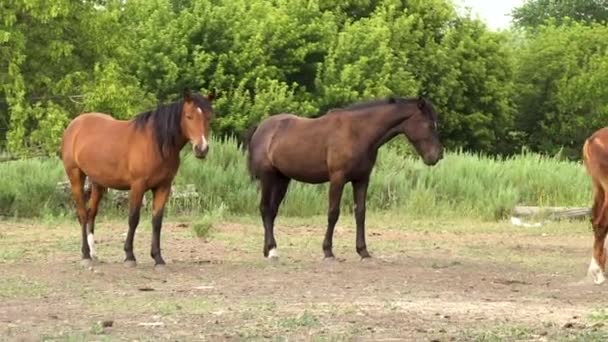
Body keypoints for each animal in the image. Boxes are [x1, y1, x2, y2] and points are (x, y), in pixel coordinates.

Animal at [60, 91, 215, 270]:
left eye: (209, 117)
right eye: (189, 116)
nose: (201, 149)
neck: (156, 143)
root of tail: (75, 124)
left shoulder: (163, 187)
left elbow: (157, 221)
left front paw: (158, 258)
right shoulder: (138, 186)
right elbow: (133, 219)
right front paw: (129, 256)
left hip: (98, 183)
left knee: (92, 213)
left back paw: (93, 254)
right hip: (75, 177)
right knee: (83, 214)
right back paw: (85, 255)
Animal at [246, 95, 442, 260]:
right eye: (429, 125)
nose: (437, 156)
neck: (358, 132)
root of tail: (261, 128)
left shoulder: (362, 180)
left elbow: (360, 213)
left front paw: (363, 251)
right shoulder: (337, 179)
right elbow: (333, 213)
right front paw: (328, 251)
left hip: (282, 180)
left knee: (272, 211)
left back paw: (268, 249)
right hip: (268, 178)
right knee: (265, 209)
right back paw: (272, 250)